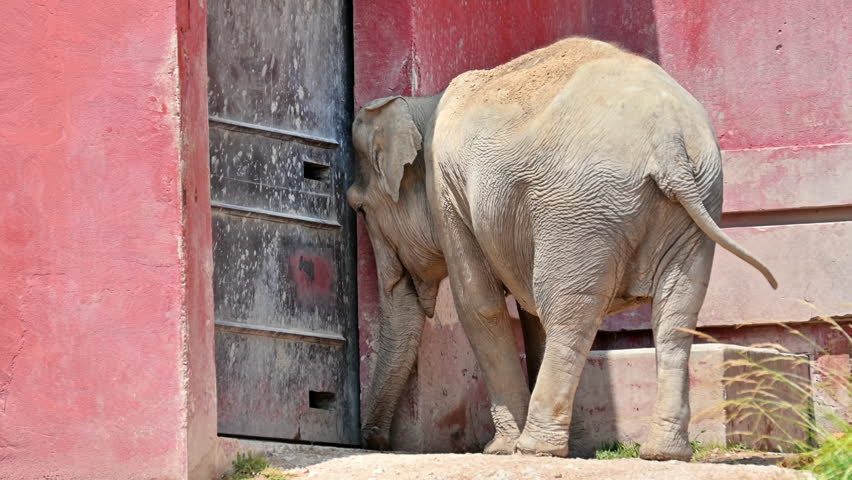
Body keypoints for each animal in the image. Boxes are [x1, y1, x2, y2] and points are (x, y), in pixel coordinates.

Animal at [347, 37, 777, 461]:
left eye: (359, 208)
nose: (375, 440)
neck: (423, 104)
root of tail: (668, 138)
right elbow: (527, 310)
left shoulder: (448, 195)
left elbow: (479, 305)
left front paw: (499, 449)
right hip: (694, 203)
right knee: (676, 313)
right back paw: (663, 454)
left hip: (581, 209)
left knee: (569, 312)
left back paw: (535, 448)